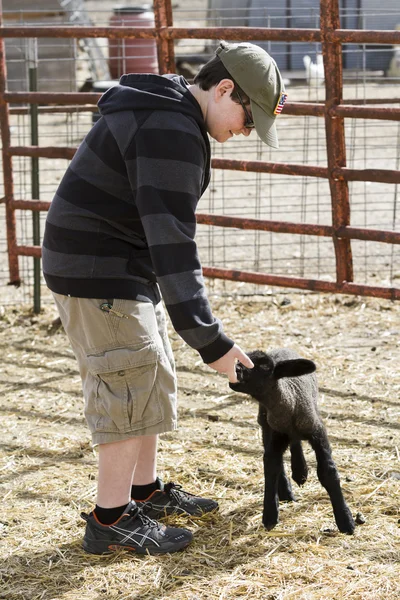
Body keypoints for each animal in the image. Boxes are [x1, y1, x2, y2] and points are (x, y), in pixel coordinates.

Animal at [230, 346, 354, 536]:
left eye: (265, 366)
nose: (236, 370)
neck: (290, 403)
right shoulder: (276, 433)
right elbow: (271, 467)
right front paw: (270, 515)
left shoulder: (317, 431)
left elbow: (328, 472)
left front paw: (345, 520)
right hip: (264, 420)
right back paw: (288, 487)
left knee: (295, 444)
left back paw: (300, 472)